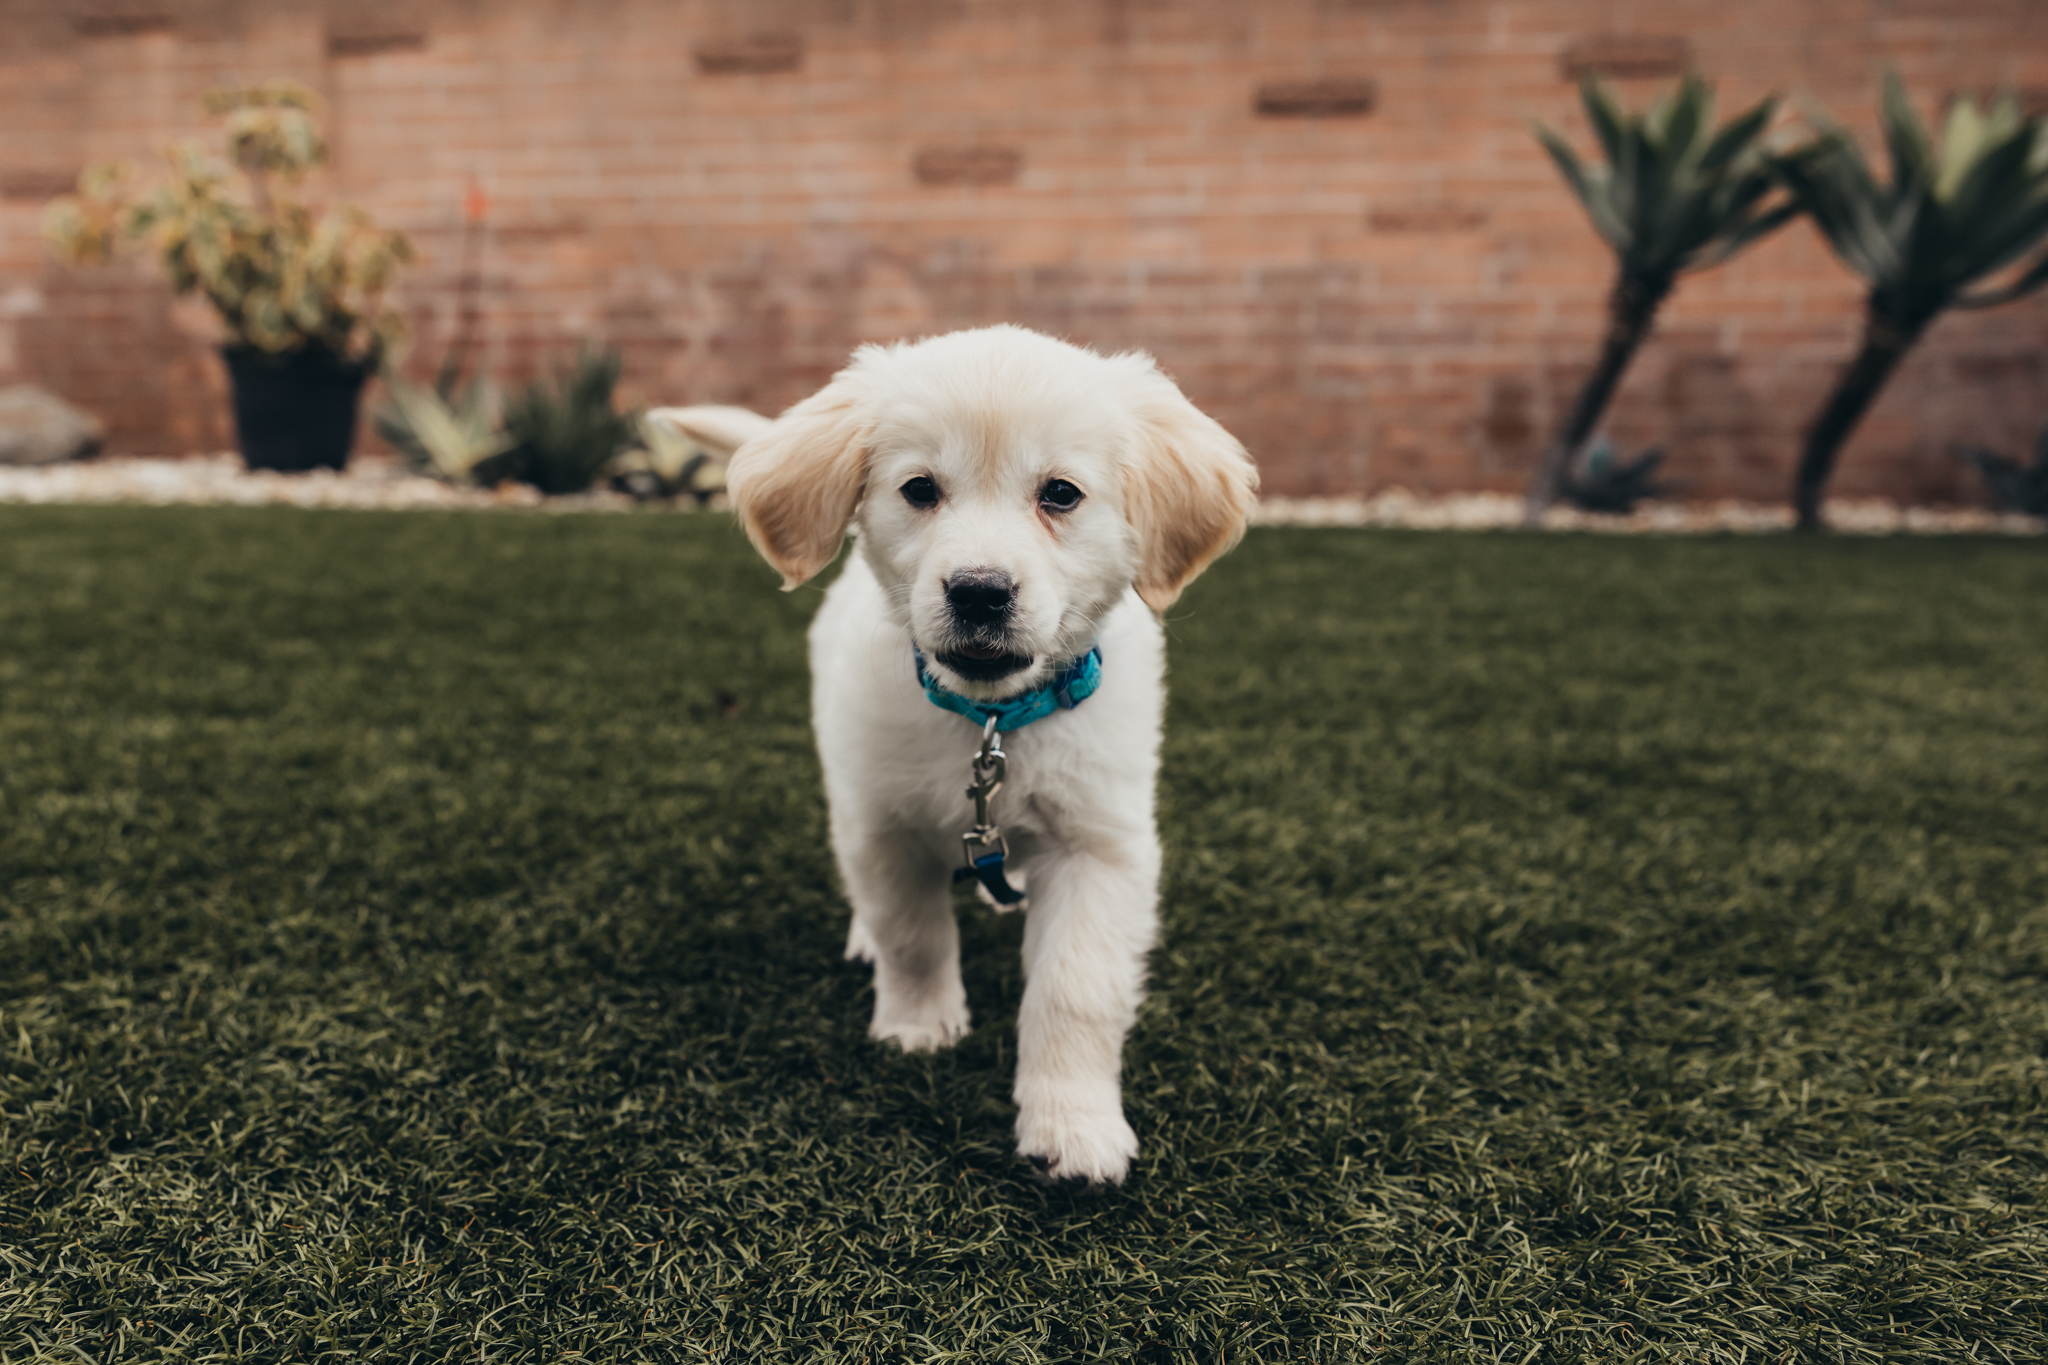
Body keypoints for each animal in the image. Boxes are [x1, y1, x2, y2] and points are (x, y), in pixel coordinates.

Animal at [720, 323, 1261, 1186]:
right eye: (919, 489)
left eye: (1061, 494)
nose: (979, 590)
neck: (993, 719)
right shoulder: (884, 823)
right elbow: (911, 933)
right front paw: (919, 1026)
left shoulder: (1101, 845)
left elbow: (1076, 987)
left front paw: (1074, 1124)